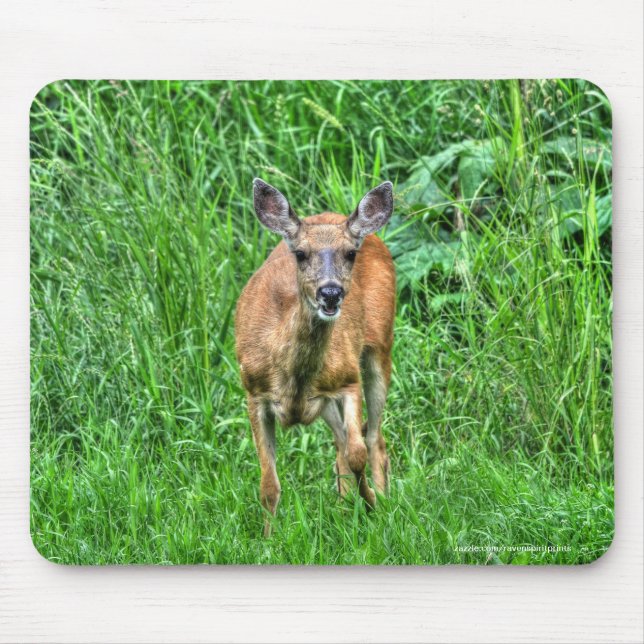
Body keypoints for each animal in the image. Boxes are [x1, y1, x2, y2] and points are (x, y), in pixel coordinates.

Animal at [235, 178, 396, 536]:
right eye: (300, 253)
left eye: (350, 253)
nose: (331, 292)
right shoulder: (253, 393)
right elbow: (268, 483)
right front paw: (268, 539)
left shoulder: (348, 378)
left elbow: (357, 452)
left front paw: (372, 505)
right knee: (340, 443)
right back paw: (344, 506)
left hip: (380, 344)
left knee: (373, 438)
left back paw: (379, 501)